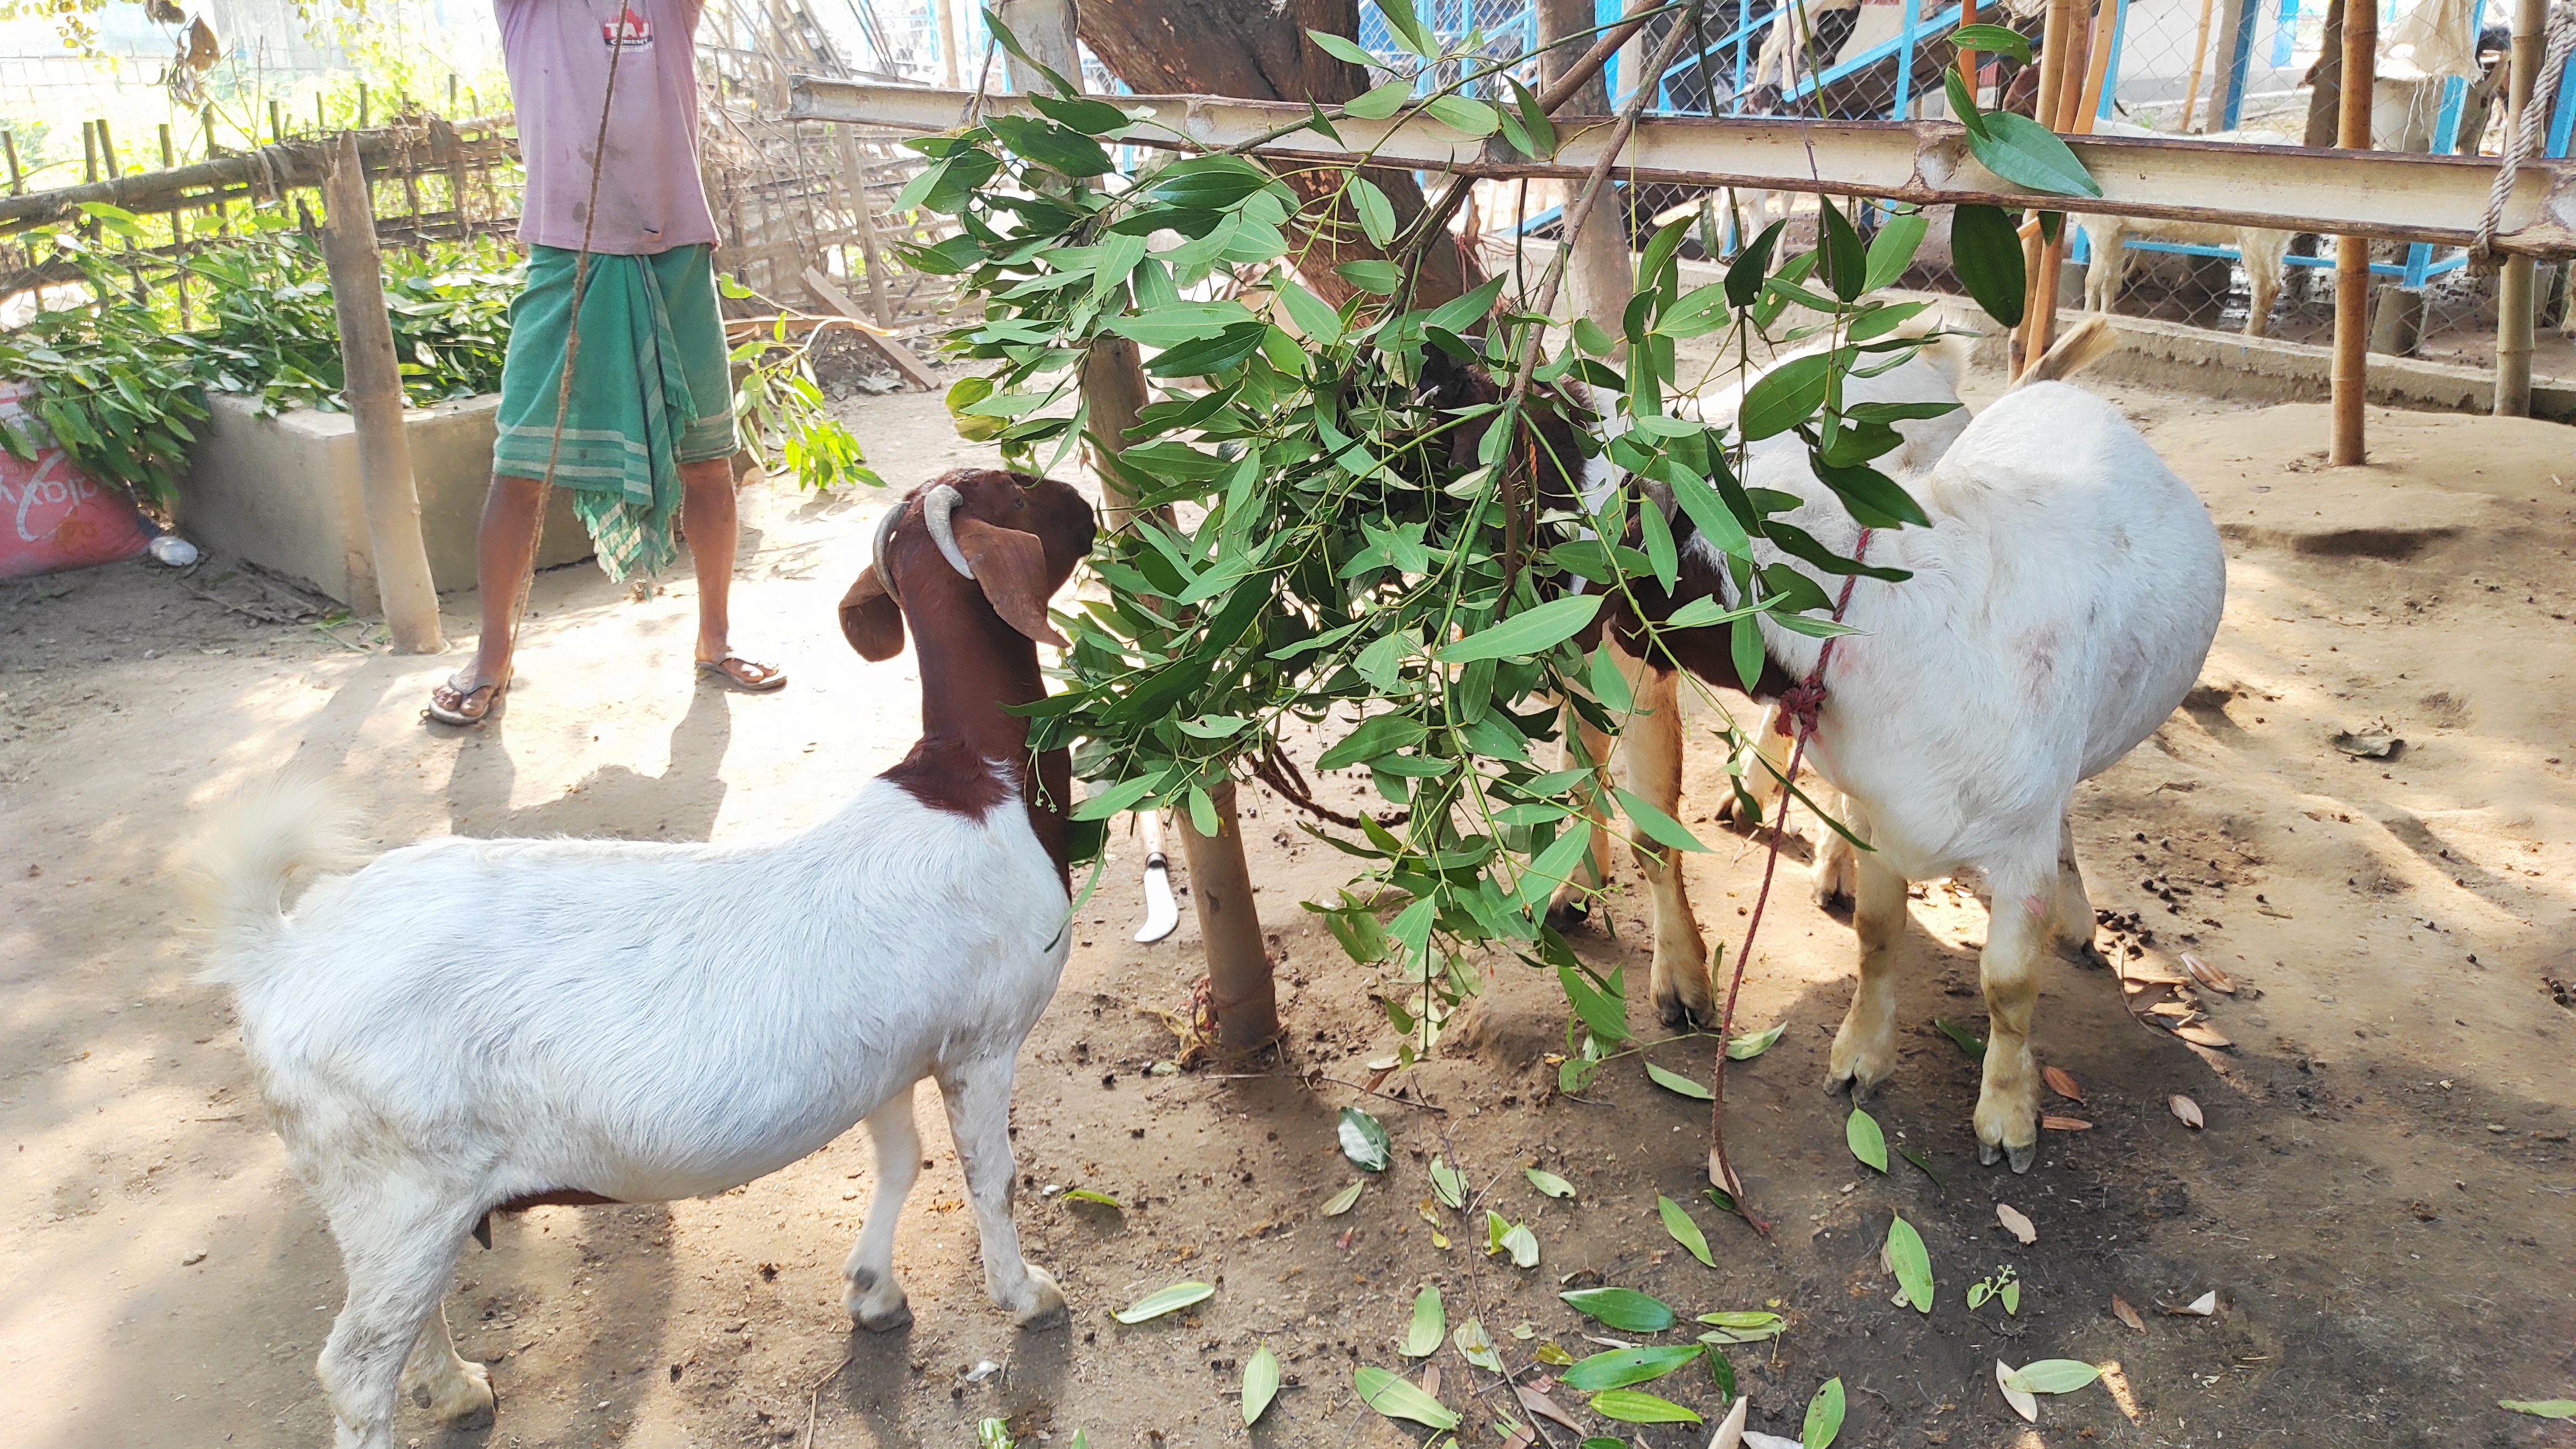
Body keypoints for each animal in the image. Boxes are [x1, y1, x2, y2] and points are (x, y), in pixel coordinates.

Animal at [184, 468, 1096, 1449]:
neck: (975, 783)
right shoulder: (982, 1040)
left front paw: (874, 1292)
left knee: (403, 1319)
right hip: (398, 1183)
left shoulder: (893, 1054)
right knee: (355, 1369)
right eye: (1021, 490)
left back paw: (458, 1387)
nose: (1087, 507)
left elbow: (902, 1157)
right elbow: (992, 1178)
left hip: (393, 1199)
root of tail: (278, 952)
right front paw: (1027, 1294)